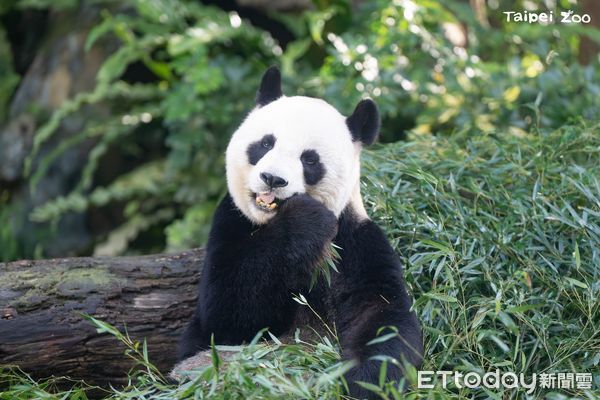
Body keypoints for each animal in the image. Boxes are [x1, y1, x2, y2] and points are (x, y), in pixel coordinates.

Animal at [177, 65, 422, 396]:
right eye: (266, 143)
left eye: (309, 159)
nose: (272, 179)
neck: (269, 221)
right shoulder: (231, 221)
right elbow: (224, 316)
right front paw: (305, 220)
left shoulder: (354, 241)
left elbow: (380, 313)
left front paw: (365, 381)